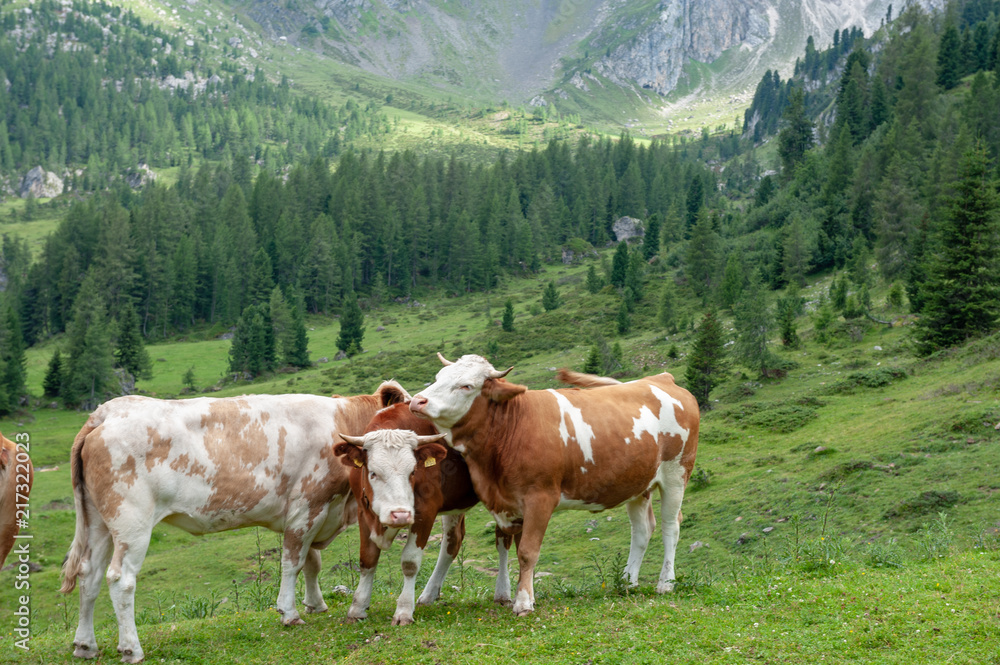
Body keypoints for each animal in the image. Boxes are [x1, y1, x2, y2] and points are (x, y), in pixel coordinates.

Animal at [59, 382, 410, 660]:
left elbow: (312, 563)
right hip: (131, 521)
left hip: (98, 522)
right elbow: (293, 562)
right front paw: (290, 612)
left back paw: (85, 645)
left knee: (89, 575)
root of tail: (106, 412)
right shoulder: (308, 506)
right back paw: (132, 649)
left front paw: (315, 604)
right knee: (120, 579)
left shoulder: (318, 511)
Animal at [334, 402, 512, 624]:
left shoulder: (425, 512)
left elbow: (410, 562)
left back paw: (504, 593)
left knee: (504, 538)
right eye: (373, 473)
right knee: (453, 542)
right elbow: (367, 560)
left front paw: (403, 611)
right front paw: (357, 608)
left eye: (413, 471)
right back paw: (429, 594)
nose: (400, 515)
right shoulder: (363, 511)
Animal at [410, 356, 700, 616]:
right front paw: (526, 596)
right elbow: (518, 549)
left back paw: (666, 583)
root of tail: (660, 378)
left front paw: (523, 603)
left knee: (670, 526)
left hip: (676, 473)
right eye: (438, 377)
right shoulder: (511, 503)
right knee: (642, 530)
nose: (417, 401)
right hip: (638, 484)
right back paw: (627, 582)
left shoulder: (540, 498)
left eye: (466, 386)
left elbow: (528, 552)